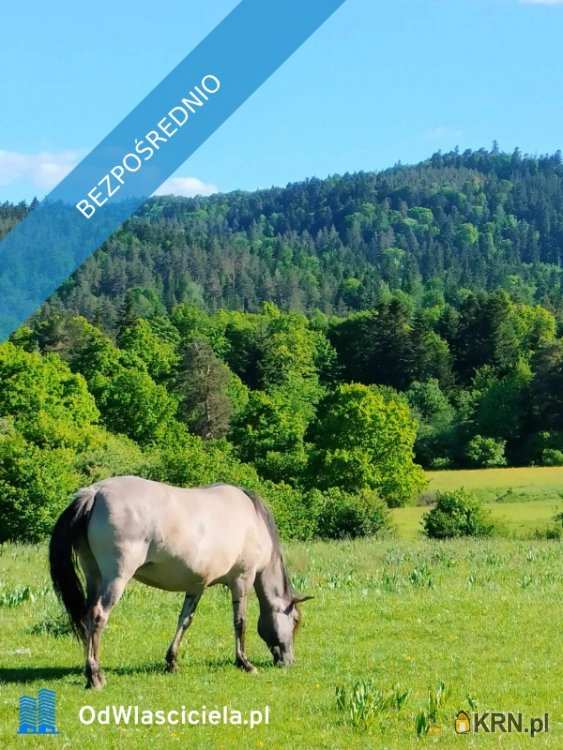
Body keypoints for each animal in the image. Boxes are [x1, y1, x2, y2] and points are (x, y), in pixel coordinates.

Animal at [48, 478, 312, 692]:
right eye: (295, 621)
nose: (288, 661)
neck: (253, 521)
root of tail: (95, 493)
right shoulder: (241, 580)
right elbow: (240, 622)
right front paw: (244, 662)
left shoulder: (196, 586)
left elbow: (184, 620)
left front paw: (172, 661)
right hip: (115, 579)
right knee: (97, 617)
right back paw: (95, 676)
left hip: (94, 576)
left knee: (85, 618)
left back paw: (89, 672)